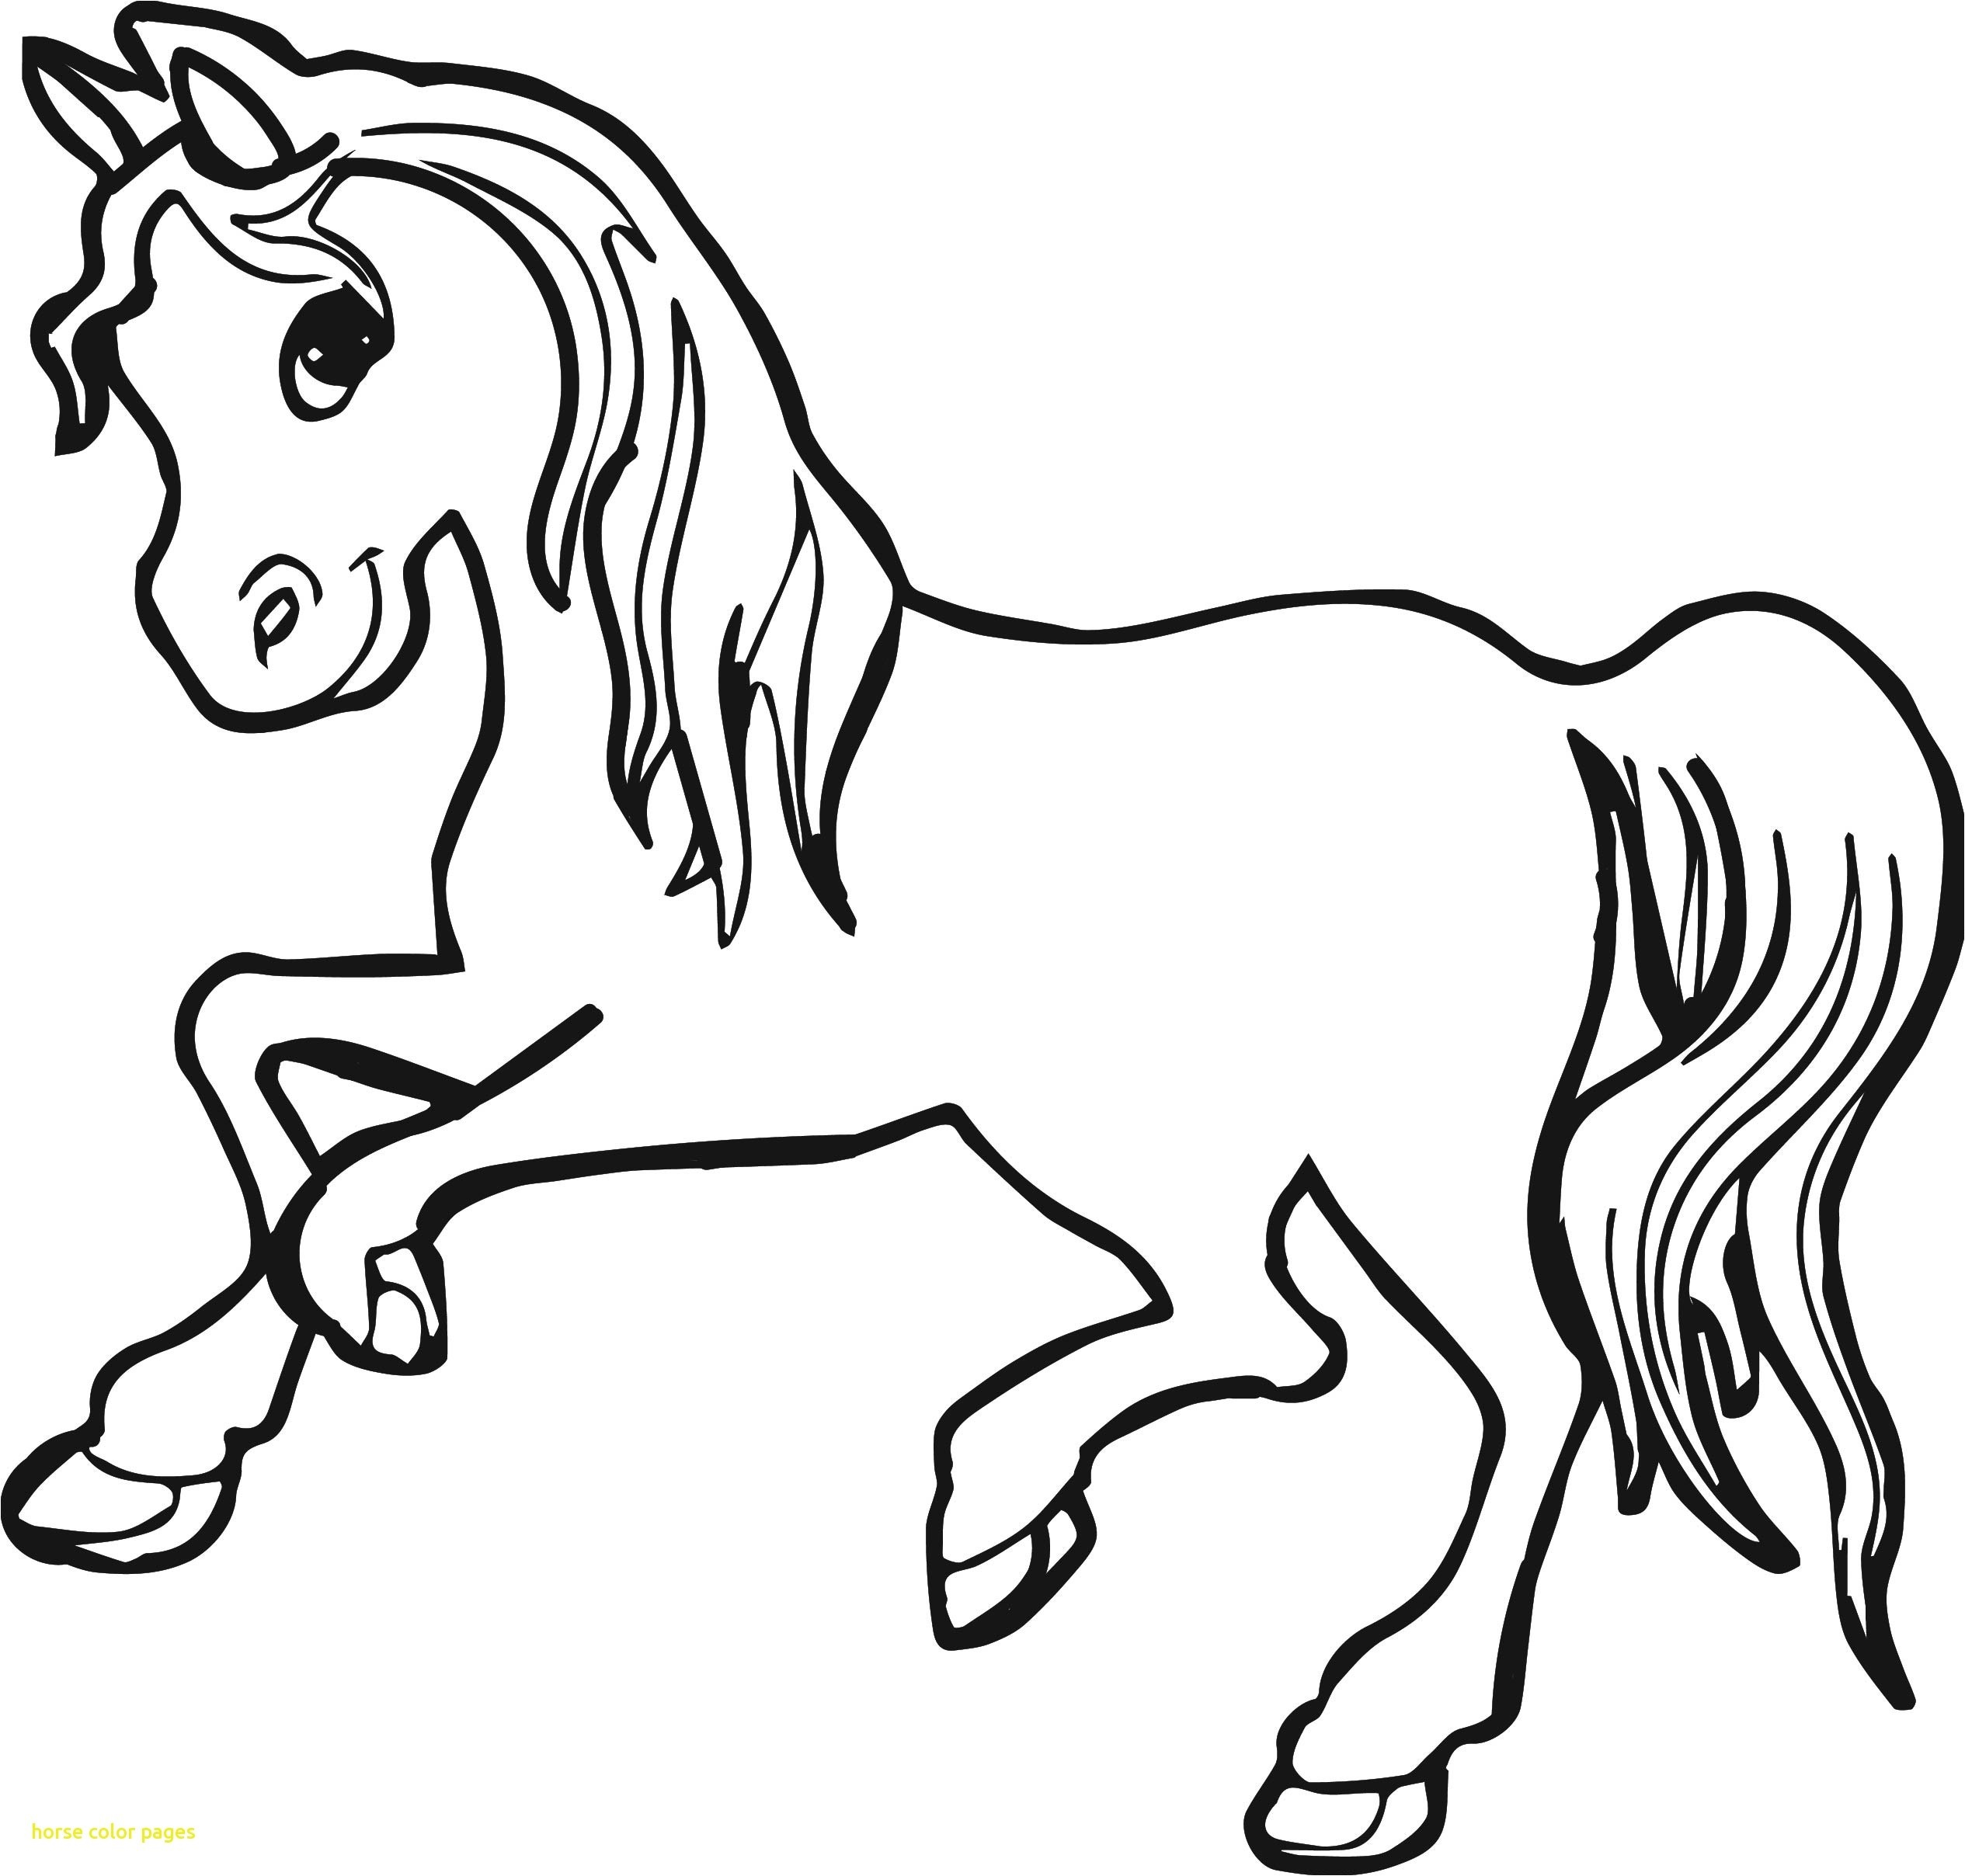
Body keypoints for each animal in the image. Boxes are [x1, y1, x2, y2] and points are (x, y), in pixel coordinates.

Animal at [9, 9, 1958, 1869]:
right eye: (111, 359)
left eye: (335, 339)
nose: (236, 644)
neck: (686, 732)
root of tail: (1566, 705)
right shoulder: (522, 994)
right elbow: (236, 1025)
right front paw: (167, 1434)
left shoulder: (739, 1062)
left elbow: (387, 1155)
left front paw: (350, 1298)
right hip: (1132, 1127)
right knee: (1266, 1325)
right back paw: (1002, 1507)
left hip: (1390, 1139)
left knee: (1510, 1369)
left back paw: (1350, 1742)